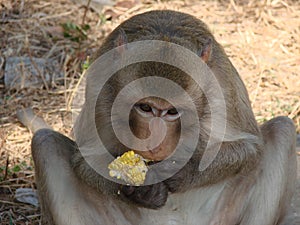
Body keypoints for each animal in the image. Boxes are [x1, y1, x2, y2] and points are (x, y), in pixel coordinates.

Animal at [17, 9, 296, 224]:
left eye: (172, 112)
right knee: (44, 142)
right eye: (145, 108)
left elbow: (249, 147)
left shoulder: (221, 85)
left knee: (282, 129)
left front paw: (180, 172)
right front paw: (143, 191)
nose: (155, 142)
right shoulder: (101, 87)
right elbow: (85, 160)